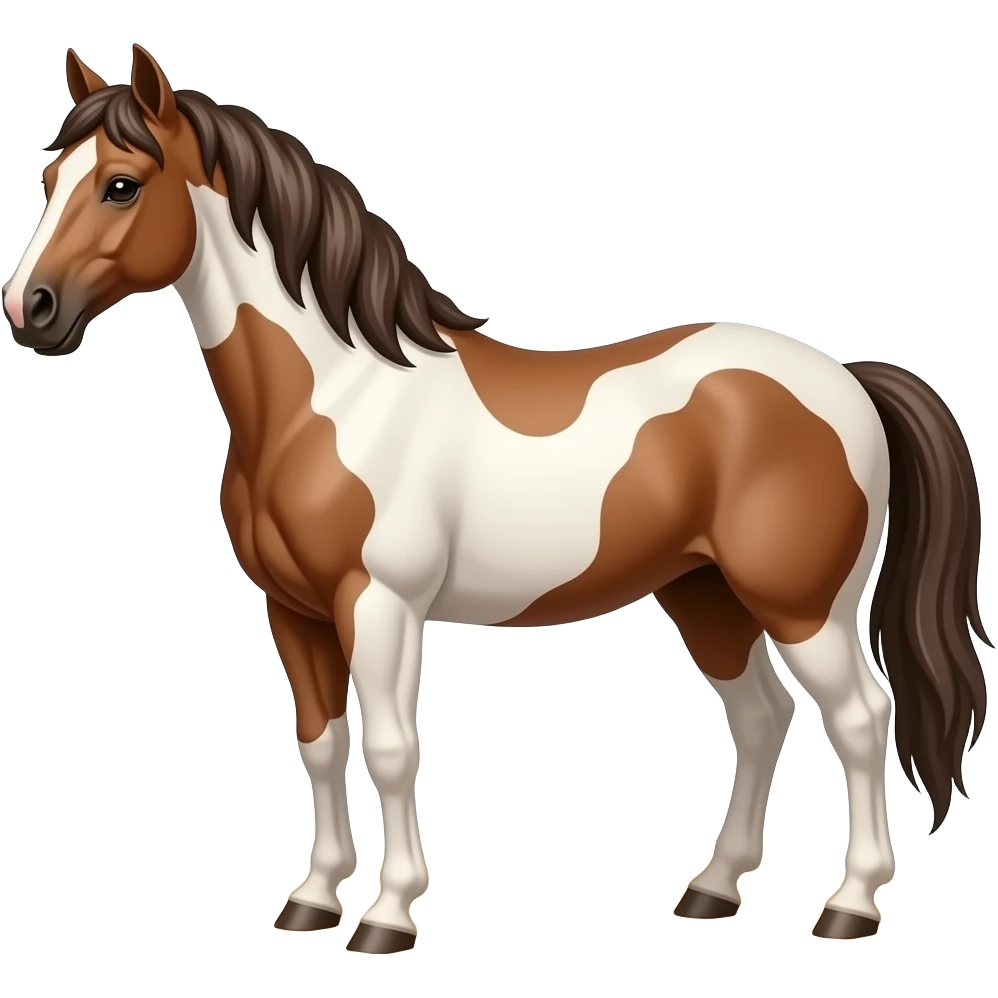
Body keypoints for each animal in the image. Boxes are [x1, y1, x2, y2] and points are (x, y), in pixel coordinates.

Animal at [2, 45, 989, 951]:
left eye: (122, 186)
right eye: (49, 179)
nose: (29, 309)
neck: (336, 395)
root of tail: (847, 379)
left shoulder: (380, 604)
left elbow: (392, 749)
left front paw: (388, 916)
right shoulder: (295, 612)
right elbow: (319, 743)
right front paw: (313, 900)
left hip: (802, 607)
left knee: (859, 720)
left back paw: (850, 906)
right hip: (704, 594)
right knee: (760, 717)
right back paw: (714, 887)